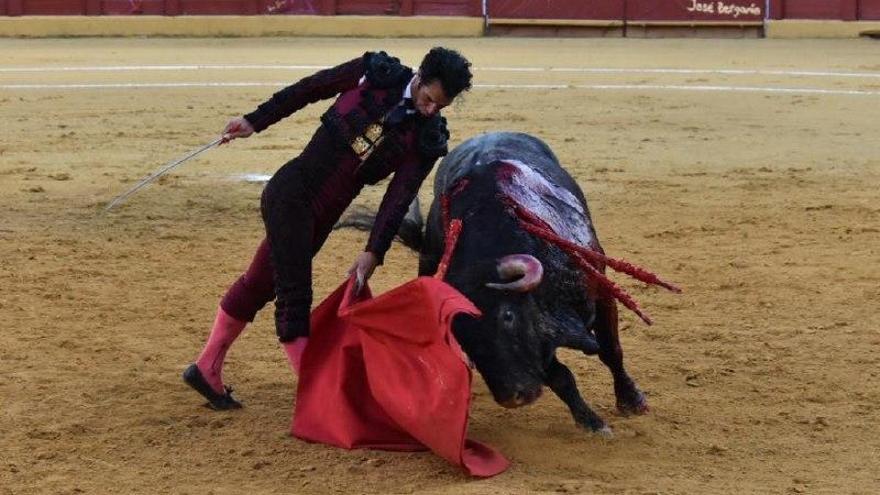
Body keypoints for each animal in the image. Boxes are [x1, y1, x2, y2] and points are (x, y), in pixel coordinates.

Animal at [340, 133, 672, 438]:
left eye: (508, 316)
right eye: (458, 334)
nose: (512, 397)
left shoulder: (601, 293)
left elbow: (610, 351)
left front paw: (631, 401)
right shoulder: (536, 342)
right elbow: (560, 377)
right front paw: (590, 422)